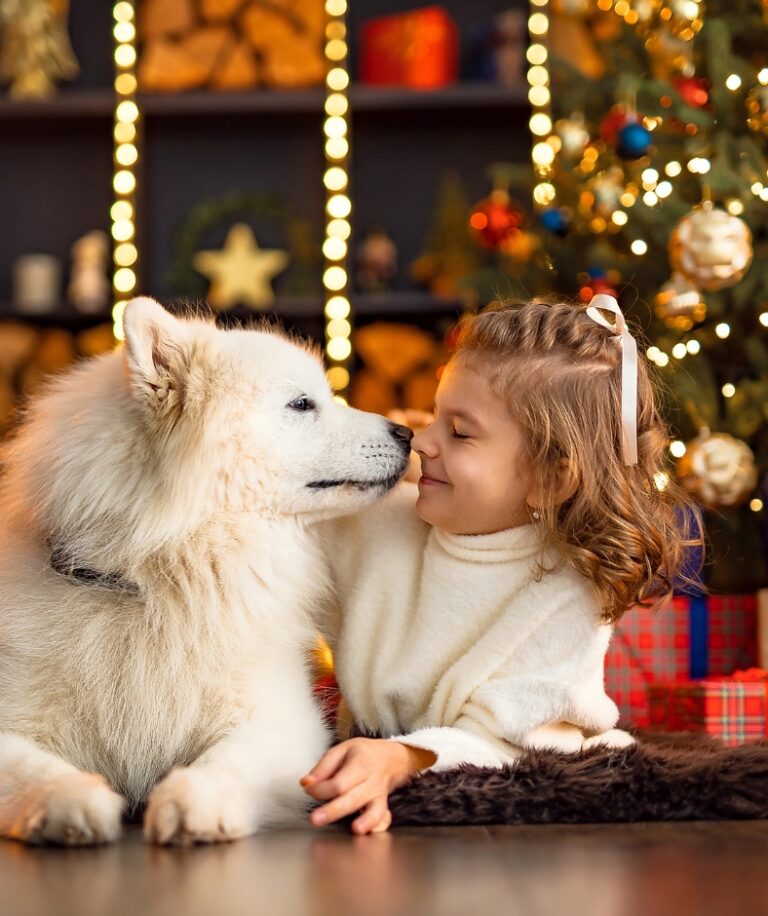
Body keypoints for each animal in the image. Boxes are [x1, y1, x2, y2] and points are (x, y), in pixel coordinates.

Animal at [0, 298, 414, 844]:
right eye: (302, 404)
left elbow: (228, 761)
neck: (154, 583)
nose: (407, 433)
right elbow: (31, 769)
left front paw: (193, 802)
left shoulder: (282, 717)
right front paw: (72, 802)